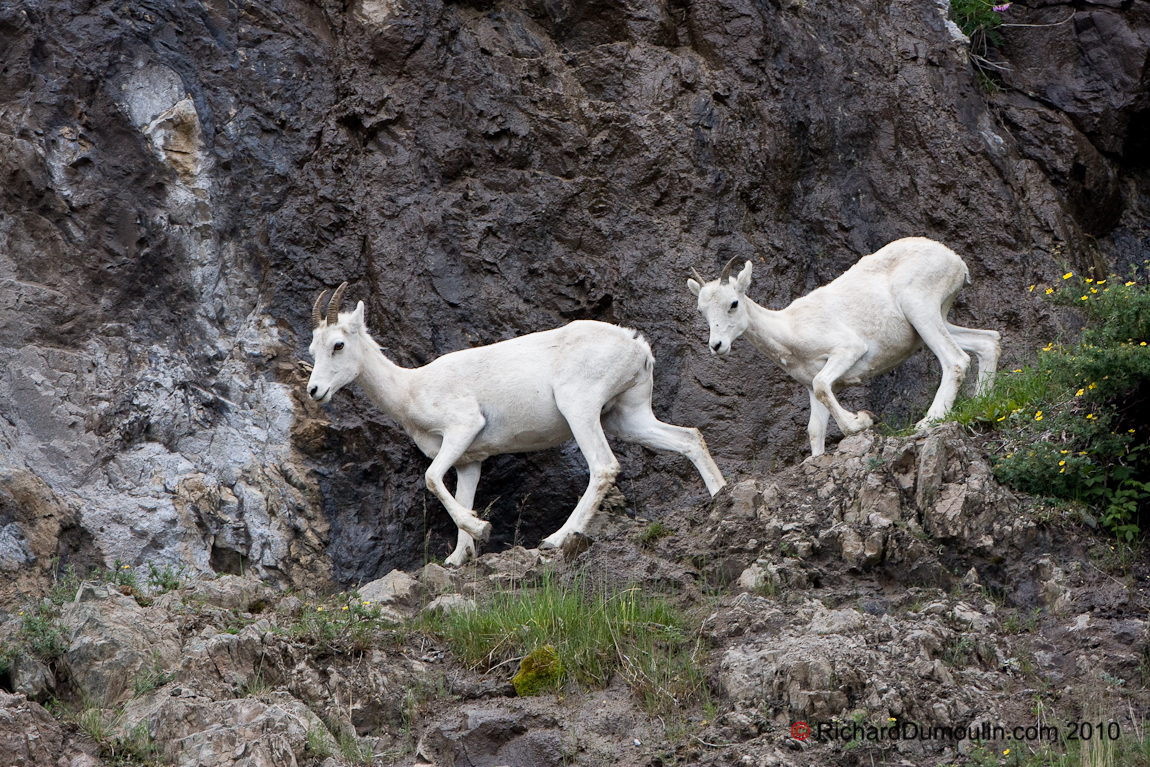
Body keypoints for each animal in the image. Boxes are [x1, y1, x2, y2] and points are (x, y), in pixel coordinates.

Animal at [305, 285, 726, 568]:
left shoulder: (462, 428)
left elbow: (431, 479)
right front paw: (458, 558)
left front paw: (482, 530)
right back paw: (721, 496)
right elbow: (461, 496)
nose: (314, 391)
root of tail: (637, 346)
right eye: (313, 349)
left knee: (604, 467)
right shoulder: (469, 462)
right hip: (627, 417)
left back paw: (555, 540)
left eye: (338, 344)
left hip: (580, 409)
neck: (410, 388)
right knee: (689, 438)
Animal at [685, 236, 1002, 455]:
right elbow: (815, 430)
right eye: (702, 310)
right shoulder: (810, 387)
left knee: (956, 360)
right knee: (988, 342)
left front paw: (863, 420)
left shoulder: (847, 351)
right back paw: (980, 403)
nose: (717, 345)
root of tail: (957, 262)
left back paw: (929, 421)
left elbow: (825, 388)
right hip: (933, 322)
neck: (789, 331)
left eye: (733, 303)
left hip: (920, 309)